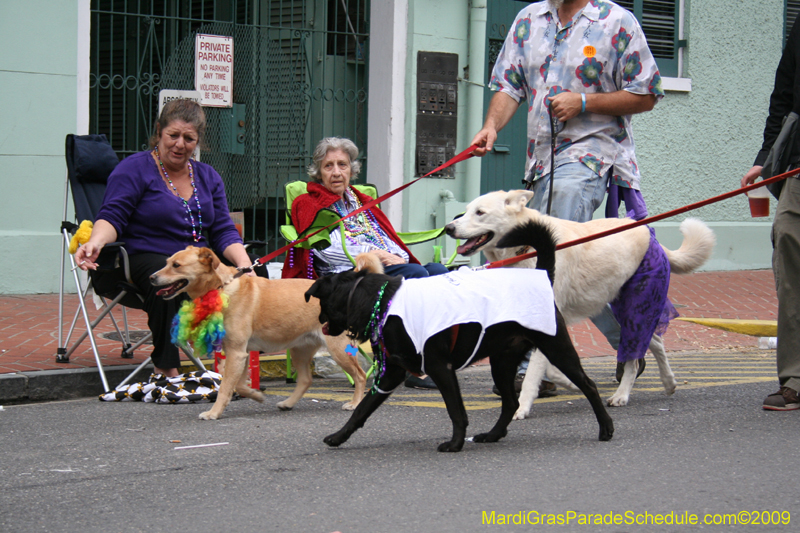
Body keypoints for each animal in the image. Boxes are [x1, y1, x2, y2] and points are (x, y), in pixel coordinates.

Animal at [148, 246, 364, 420]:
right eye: (167, 262)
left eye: (176, 265)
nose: (151, 277)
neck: (221, 287)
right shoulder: (239, 354)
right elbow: (239, 385)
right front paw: (257, 395)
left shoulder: (236, 353)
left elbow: (225, 388)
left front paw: (214, 413)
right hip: (300, 350)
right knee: (305, 380)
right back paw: (288, 403)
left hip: (339, 349)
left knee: (360, 376)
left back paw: (355, 403)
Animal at [304, 218, 612, 450]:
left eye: (322, 304)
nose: (319, 321)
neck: (383, 301)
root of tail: (542, 275)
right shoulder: (391, 374)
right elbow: (363, 408)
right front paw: (339, 436)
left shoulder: (440, 368)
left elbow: (456, 410)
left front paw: (454, 443)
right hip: (502, 362)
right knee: (510, 402)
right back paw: (493, 435)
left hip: (557, 349)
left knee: (589, 385)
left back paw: (606, 427)